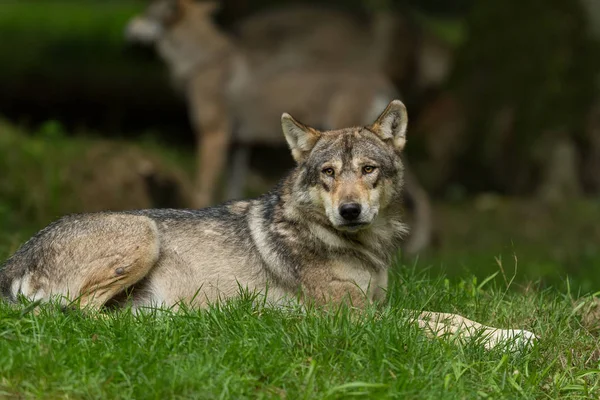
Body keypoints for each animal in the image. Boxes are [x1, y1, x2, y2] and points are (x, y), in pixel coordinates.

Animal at [0, 100, 536, 350]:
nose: (349, 210)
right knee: (77, 315)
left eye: (368, 170)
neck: (358, 245)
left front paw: (514, 332)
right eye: (328, 173)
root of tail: (13, 259)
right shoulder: (357, 318)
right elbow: (437, 325)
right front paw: (510, 340)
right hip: (143, 233)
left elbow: (451, 317)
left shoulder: (376, 304)